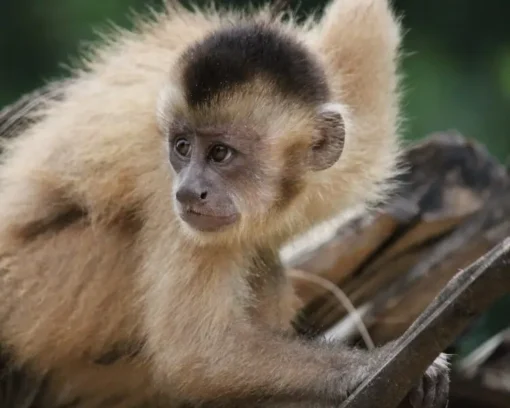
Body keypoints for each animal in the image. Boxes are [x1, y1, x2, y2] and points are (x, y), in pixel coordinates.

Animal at [0, 0, 450, 408]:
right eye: (182, 148)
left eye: (220, 154)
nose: (188, 191)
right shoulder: (159, 170)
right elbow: (195, 354)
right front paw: (375, 364)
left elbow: (363, 23)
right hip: (32, 288)